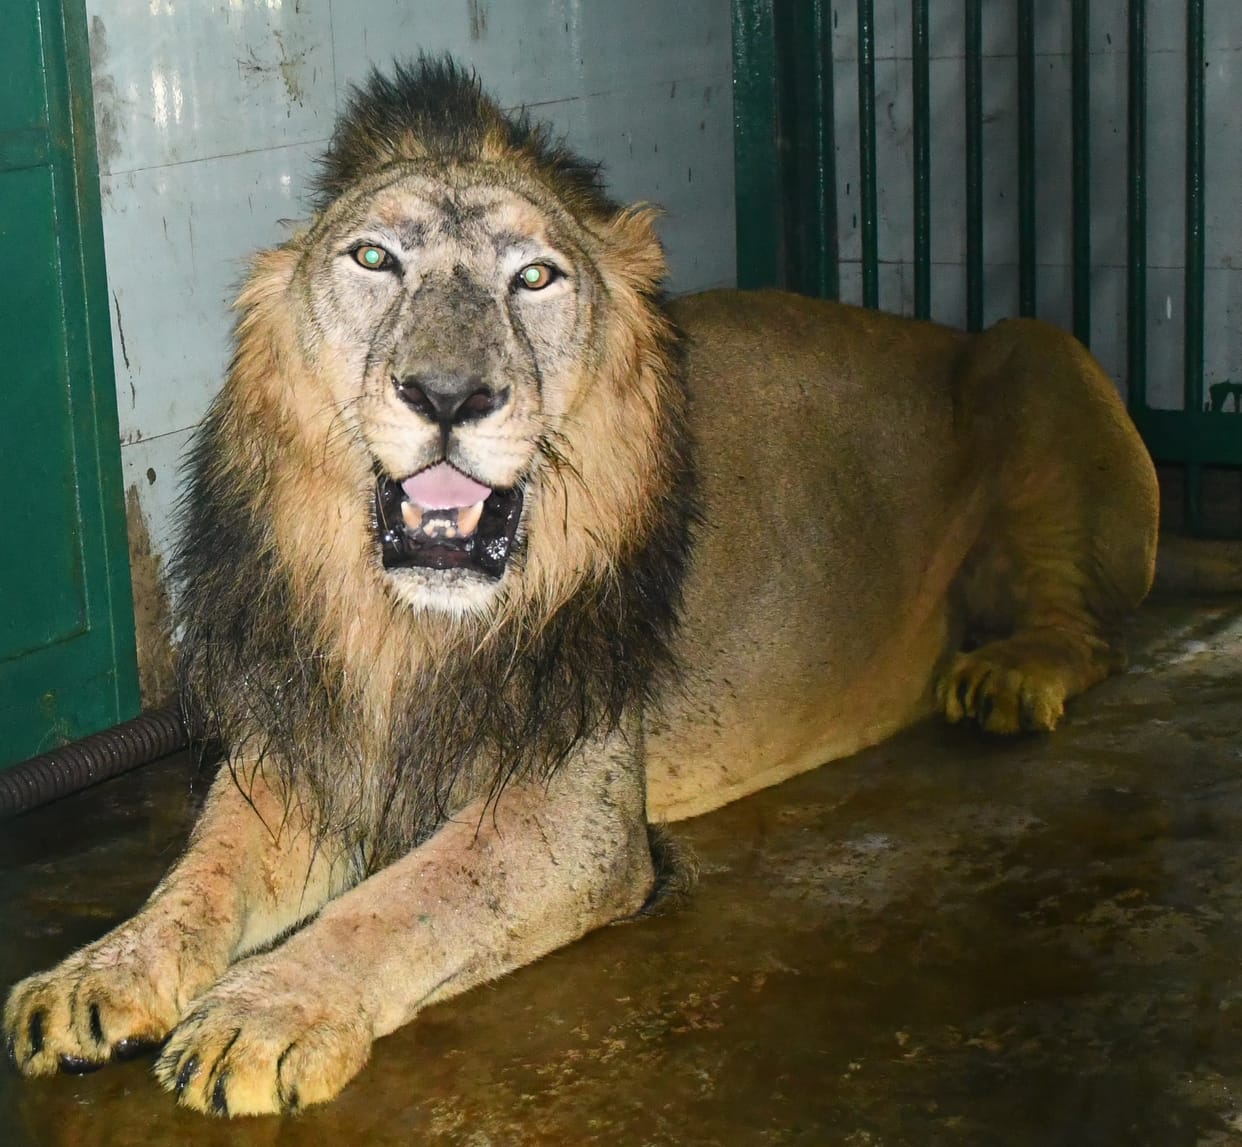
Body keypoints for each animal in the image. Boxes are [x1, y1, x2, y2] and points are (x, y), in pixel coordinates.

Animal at [4, 59, 1158, 1116]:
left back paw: (1008, 679)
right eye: (374, 258)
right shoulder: (306, 746)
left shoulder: (576, 812)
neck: (404, 629)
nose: (449, 395)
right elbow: (198, 873)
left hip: (1028, 353)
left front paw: (259, 1011)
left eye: (535, 278)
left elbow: (400, 900)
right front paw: (95, 974)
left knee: (1098, 628)